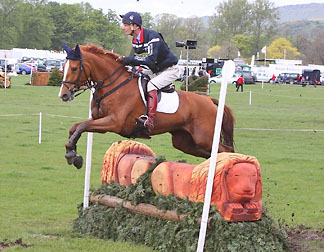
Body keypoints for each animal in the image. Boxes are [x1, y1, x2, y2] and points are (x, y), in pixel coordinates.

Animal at [58, 44, 235, 168]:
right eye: (63, 68)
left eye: (74, 68)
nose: (63, 95)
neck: (113, 85)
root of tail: (209, 101)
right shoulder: (98, 120)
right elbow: (75, 127)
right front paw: (72, 154)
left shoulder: (113, 123)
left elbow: (82, 126)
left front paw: (72, 156)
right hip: (184, 142)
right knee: (210, 153)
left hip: (204, 137)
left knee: (225, 150)